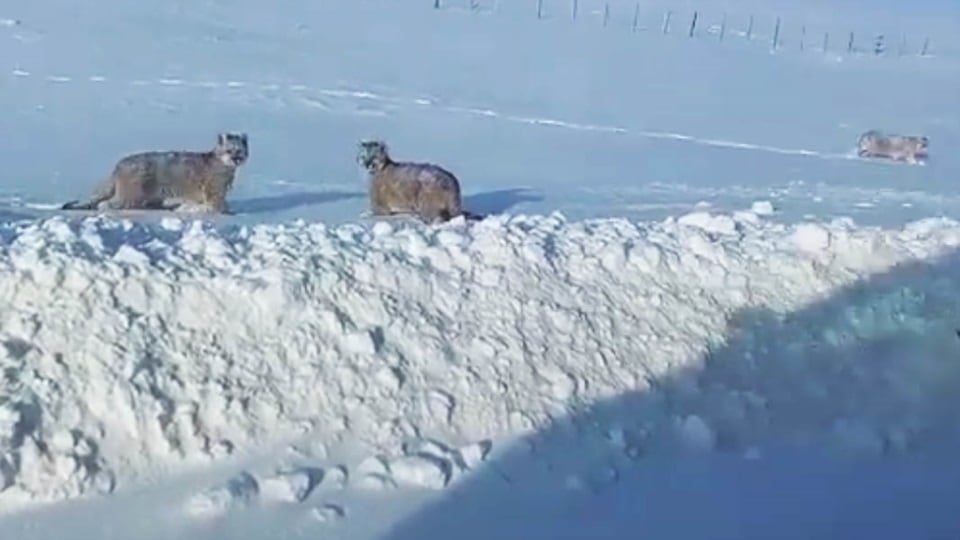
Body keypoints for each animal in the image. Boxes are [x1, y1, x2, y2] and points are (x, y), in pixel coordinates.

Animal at [62, 132, 249, 213]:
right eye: (229, 150)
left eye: (239, 151)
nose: (236, 159)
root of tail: (119, 165)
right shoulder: (214, 193)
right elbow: (215, 207)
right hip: (132, 196)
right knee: (107, 204)